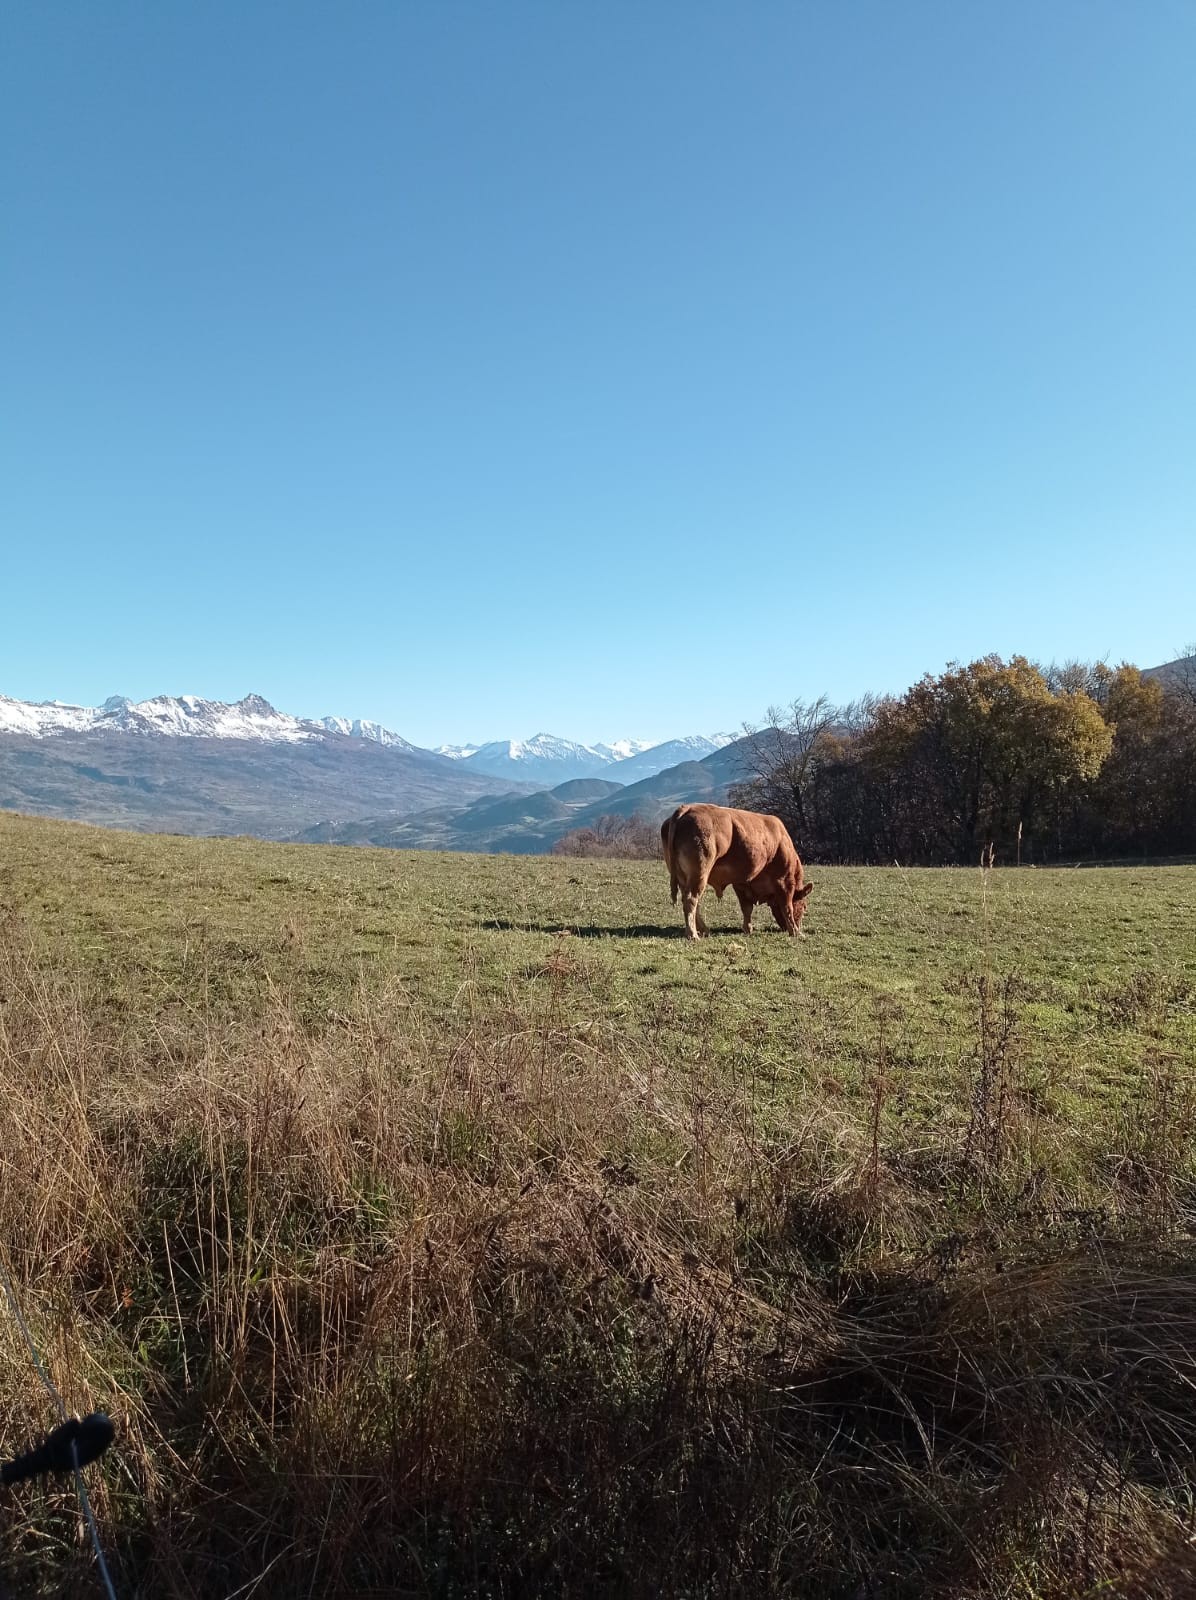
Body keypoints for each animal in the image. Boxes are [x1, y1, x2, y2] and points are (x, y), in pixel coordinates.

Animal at [655, 800, 812, 934]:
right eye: (804, 906)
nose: (798, 926)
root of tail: (686, 808)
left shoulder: (741, 882)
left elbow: (747, 908)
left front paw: (748, 929)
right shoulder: (784, 882)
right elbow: (787, 908)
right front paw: (796, 932)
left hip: (684, 877)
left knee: (691, 900)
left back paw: (704, 930)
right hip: (700, 873)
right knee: (691, 899)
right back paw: (693, 934)